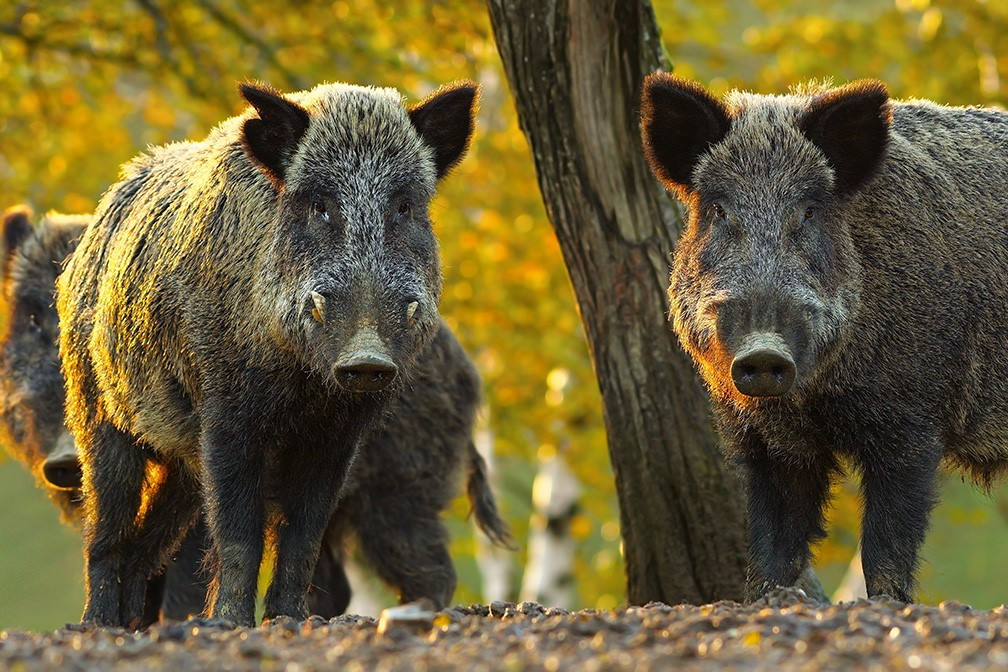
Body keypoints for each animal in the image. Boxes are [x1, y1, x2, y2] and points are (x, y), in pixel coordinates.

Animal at [57, 79, 482, 627]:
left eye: (404, 206)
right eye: (320, 205)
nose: (366, 358)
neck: (303, 385)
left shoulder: (339, 434)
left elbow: (303, 535)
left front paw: (291, 620)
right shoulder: (225, 412)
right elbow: (240, 531)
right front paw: (230, 623)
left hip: (181, 458)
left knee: (148, 543)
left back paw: (132, 626)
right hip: (96, 410)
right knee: (107, 526)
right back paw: (97, 624)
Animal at [640, 73, 1008, 602]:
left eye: (810, 211)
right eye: (718, 210)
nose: (764, 353)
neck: (815, 397)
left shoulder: (912, 418)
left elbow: (885, 543)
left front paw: (888, 604)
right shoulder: (765, 438)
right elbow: (773, 543)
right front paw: (767, 600)